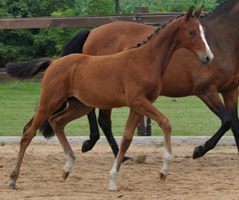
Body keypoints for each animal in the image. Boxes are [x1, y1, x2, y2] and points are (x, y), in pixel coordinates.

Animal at [7, 7, 213, 190]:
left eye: (204, 31)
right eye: (192, 32)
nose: (208, 57)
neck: (147, 59)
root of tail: (54, 62)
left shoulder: (138, 106)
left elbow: (126, 139)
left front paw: (113, 180)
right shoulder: (138, 101)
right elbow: (165, 122)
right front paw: (164, 171)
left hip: (79, 106)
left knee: (56, 121)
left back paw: (67, 167)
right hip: (50, 101)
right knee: (29, 132)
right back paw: (13, 179)